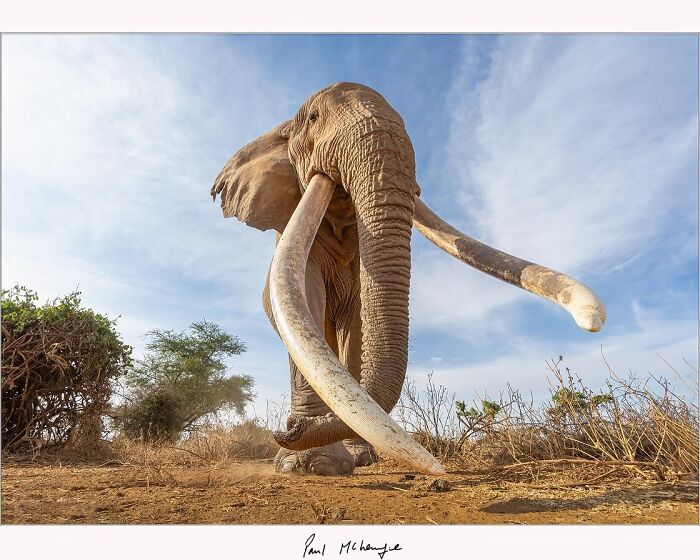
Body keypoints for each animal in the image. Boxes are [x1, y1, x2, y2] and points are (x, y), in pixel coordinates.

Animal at [211, 82, 606, 476]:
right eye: (313, 118)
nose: (288, 429)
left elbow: (358, 323)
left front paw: (330, 459)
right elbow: (293, 300)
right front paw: (306, 465)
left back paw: (362, 457)